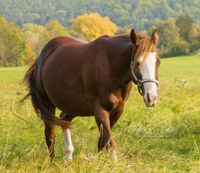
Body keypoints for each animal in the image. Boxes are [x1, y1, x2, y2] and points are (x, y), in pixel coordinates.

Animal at [23, 28, 160, 161]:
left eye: (157, 61)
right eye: (137, 62)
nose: (151, 97)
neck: (110, 67)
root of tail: (41, 58)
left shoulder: (118, 109)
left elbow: (102, 141)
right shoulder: (99, 109)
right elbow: (109, 142)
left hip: (74, 106)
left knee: (64, 119)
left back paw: (68, 157)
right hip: (47, 106)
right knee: (50, 136)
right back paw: (53, 162)